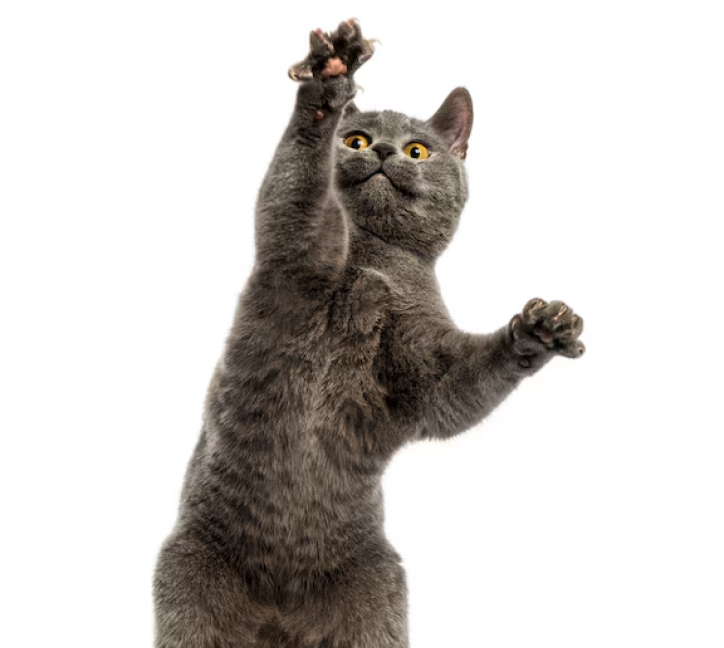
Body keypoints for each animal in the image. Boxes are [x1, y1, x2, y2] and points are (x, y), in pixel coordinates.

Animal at [153, 19, 584, 648]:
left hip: (376, 588)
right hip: (190, 577)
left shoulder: (425, 374)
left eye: (417, 150)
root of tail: (279, 614)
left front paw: (537, 329)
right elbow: (299, 194)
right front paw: (328, 78)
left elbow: (454, 391)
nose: (381, 150)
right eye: (354, 140)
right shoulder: (295, 251)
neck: (376, 258)